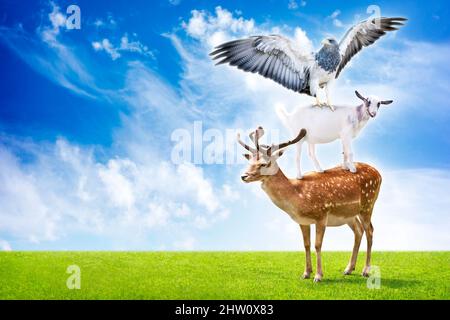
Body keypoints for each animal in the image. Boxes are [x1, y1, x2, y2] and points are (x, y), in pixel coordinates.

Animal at [237, 126, 382, 282]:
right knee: (358, 231)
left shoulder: (322, 214)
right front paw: (306, 273)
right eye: (249, 162)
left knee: (370, 231)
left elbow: (318, 245)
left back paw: (365, 271)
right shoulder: (303, 221)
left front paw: (318, 276)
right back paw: (348, 269)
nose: (243, 176)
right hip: (349, 214)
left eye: (264, 163)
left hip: (368, 204)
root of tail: (379, 174)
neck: (297, 196)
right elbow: (306, 245)